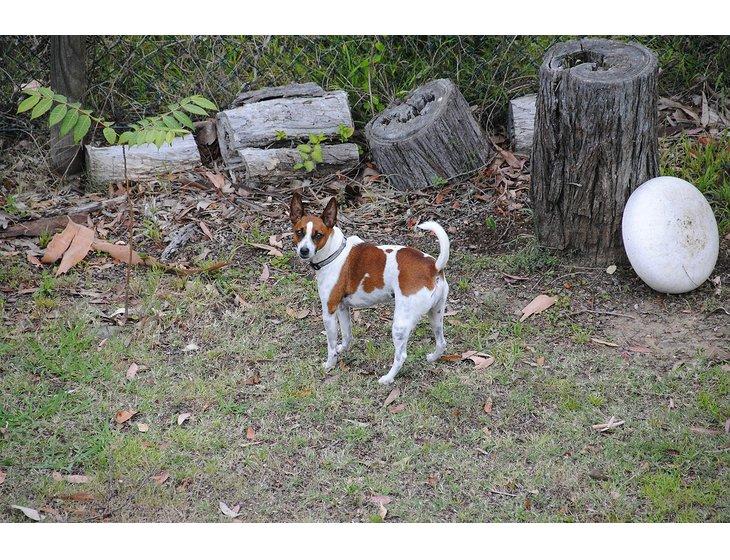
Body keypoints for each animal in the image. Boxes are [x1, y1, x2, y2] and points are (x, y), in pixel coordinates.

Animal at [288, 194, 446, 384]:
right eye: (299, 232)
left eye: (318, 235)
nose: (304, 251)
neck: (335, 253)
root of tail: (433, 267)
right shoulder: (342, 308)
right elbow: (347, 335)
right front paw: (343, 349)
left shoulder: (329, 312)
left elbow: (331, 346)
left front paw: (330, 364)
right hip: (435, 314)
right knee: (441, 342)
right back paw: (433, 358)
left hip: (400, 324)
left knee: (401, 356)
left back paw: (387, 378)